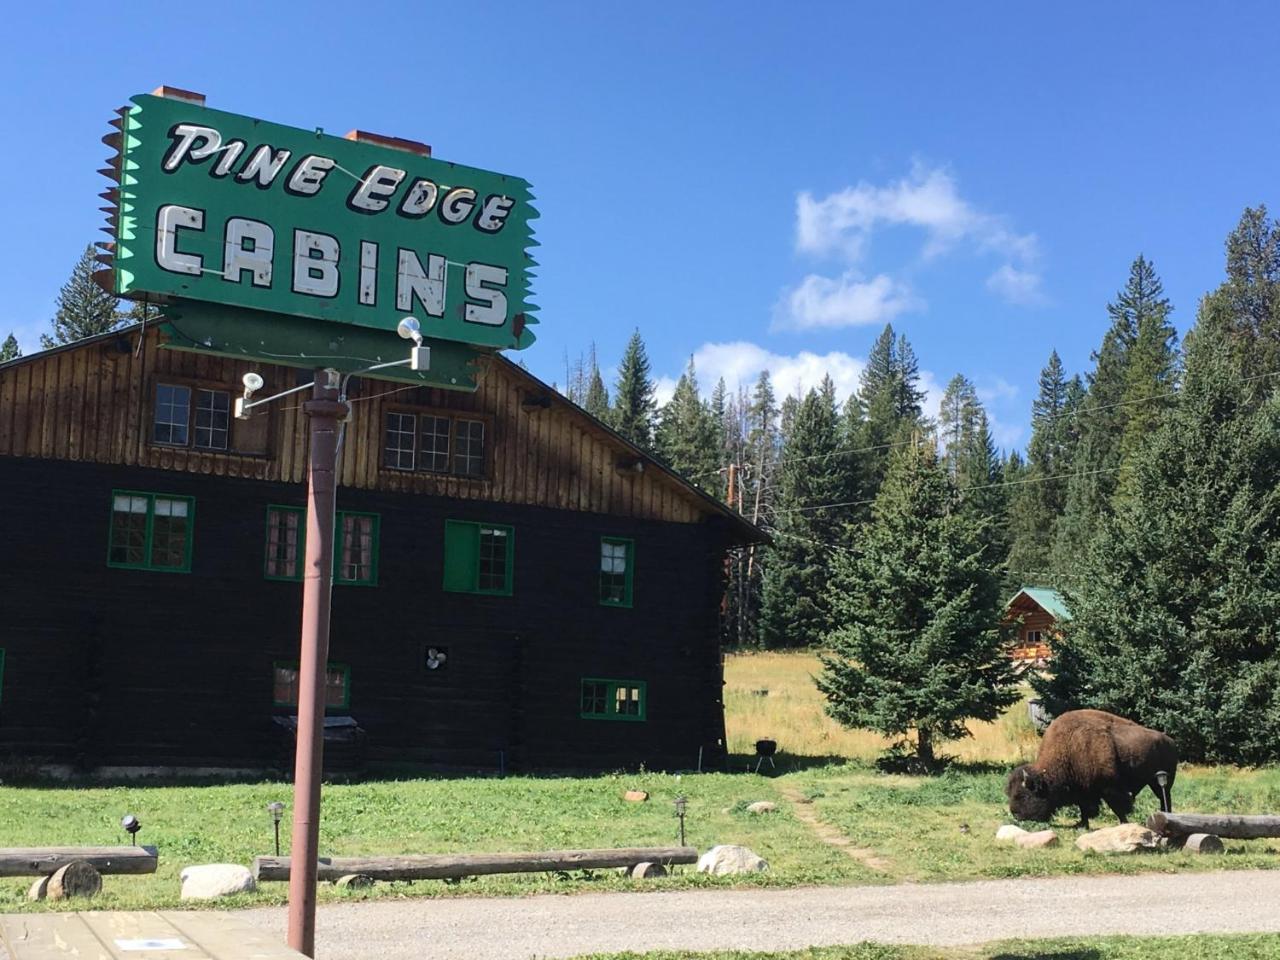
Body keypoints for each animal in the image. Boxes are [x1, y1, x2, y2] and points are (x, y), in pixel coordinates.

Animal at [1003, 711, 1172, 829]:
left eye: (1022, 795)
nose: (1016, 815)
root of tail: (1170, 741)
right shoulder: (1082, 791)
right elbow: (1084, 809)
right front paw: (1081, 824)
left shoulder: (1109, 788)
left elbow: (1118, 807)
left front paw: (1124, 824)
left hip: (1160, 781)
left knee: (1164, 797)